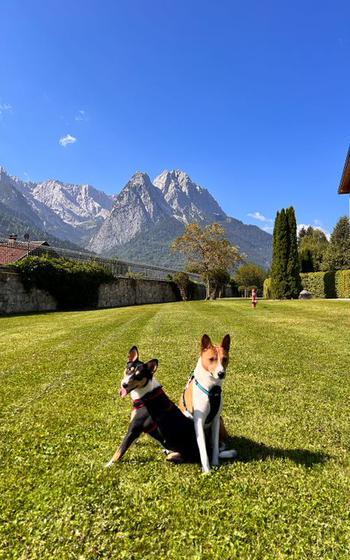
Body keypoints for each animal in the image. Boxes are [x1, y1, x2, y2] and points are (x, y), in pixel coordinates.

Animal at [179, 336, 237, 472]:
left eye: (225, 359)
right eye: (211, 359)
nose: (221, 373)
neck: (212, 388)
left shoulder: (215, 420)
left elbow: (214, 446)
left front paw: (215, 463)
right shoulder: (199, 422)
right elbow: (203, 450)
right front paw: (207, 471)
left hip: (221, 422)